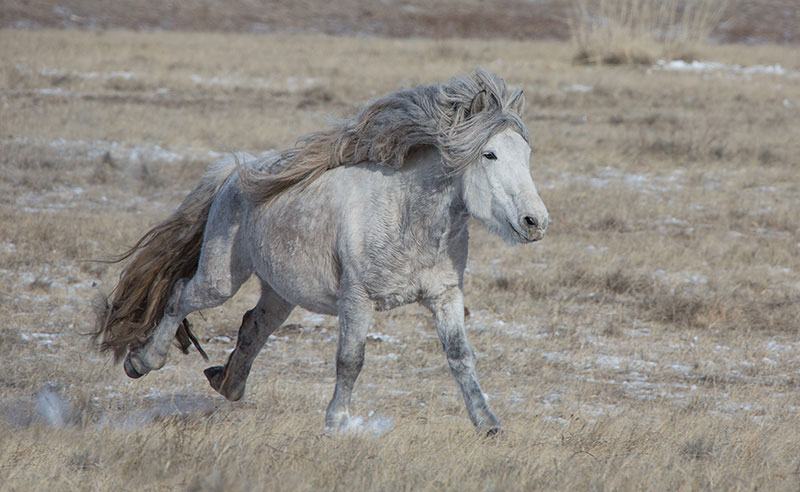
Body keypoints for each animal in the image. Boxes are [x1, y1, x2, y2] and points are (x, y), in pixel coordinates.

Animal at [94, 68, 550, 435]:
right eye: (489, 154)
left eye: (528, 154)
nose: (536, 222)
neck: (406, 217)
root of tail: (234, 174)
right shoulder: (357, 299)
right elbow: (350, 360)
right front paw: (337, 423)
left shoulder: (445, 295)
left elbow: (461, 358)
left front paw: (488, 424)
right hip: (220, 279)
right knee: (180, 296)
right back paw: (142, 362)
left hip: (281, 292)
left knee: (252, 325)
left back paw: (227, 383)